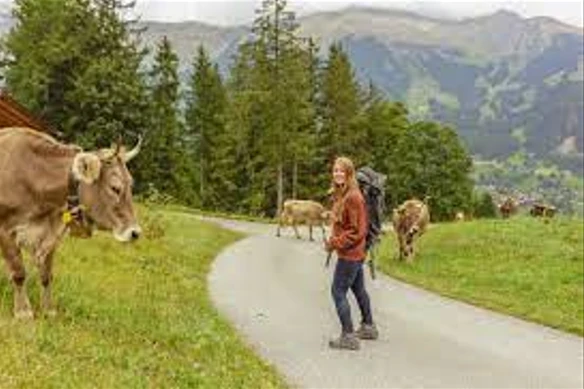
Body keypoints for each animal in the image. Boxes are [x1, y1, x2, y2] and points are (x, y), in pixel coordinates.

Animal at [0, 127, 141, 318]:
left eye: (131, 184)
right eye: (115, 188)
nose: (135, 232)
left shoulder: (51, 236)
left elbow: (47, 275)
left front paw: (48, 309)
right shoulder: (6, 230)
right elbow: (19, 273)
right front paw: (23, 311)